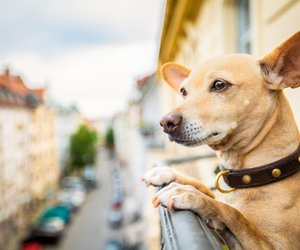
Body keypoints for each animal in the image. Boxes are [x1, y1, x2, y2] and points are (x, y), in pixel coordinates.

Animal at [142, 31, 300, 250]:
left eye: (219, 85)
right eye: (183, 92)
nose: (166, 122)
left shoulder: (271, 246)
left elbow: (234, 214)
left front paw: (192, 195)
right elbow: (206, 188)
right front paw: (170, 174)